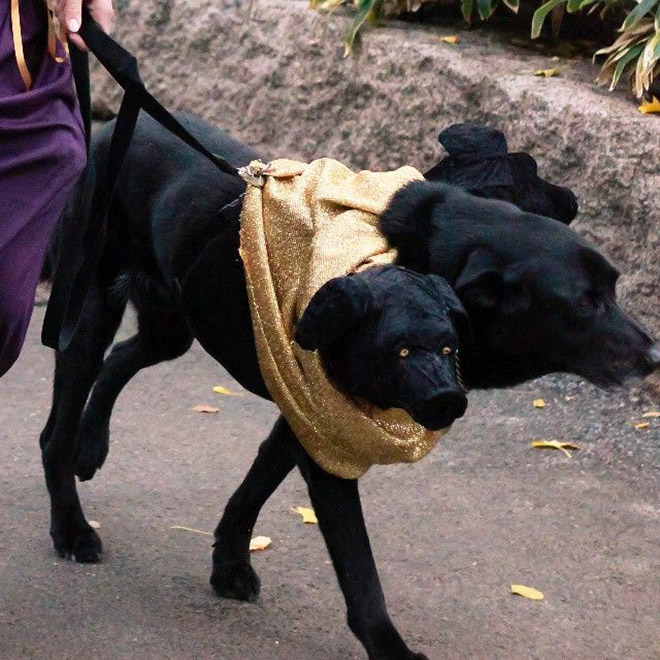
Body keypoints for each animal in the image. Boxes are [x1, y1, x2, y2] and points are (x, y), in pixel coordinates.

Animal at [43, 114, 656, 660]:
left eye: (614, 287)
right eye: (585, 303)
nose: (653, 356)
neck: (416, 261)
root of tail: (110, 128)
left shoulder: (309, 416)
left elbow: (253, 489)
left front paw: (229, 567)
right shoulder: (324, 435)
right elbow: (358, 567)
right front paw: (391, 649)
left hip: (172, 323)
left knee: (121, 359)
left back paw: (91, 447)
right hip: (88, 311)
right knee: (56, 427)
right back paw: (71, 527)